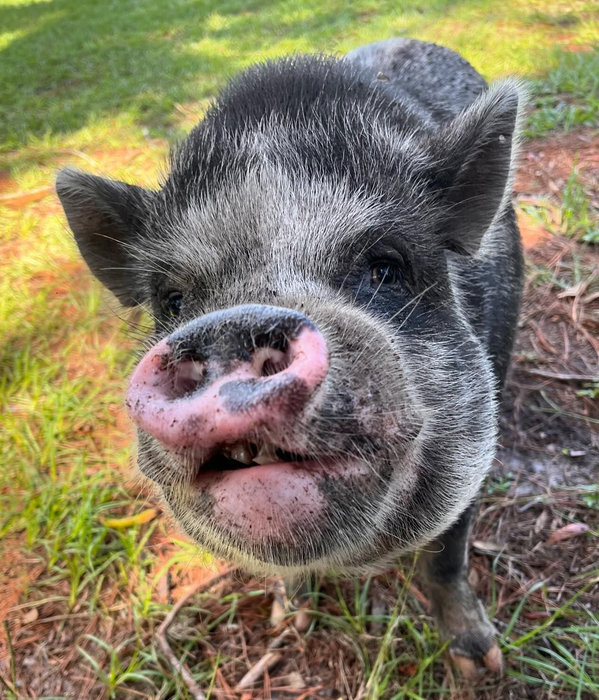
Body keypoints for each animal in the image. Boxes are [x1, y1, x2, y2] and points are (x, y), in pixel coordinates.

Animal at [56, 38, 524, 677]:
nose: (230, 326)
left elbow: (445, 557)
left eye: (386, 267)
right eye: (172, 300)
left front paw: (482, 665)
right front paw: (286, 623)